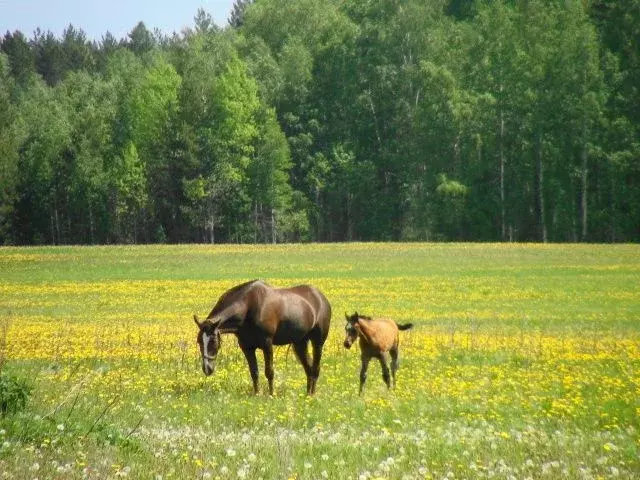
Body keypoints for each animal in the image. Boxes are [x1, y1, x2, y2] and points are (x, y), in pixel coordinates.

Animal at [192, 280, 332, 396]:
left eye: (213, 341)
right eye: (199, 342)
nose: (207, 369)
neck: (249, 306)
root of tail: (321, 298)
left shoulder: (267, 344)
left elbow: (269, 372)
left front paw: (271, 394)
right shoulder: (247, 347)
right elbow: (254, 372)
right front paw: (257, 394)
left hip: (318, 342)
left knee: (315, 368)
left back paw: (312, 394)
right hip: (300, 343)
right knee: (309, 368)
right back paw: (308, 394)